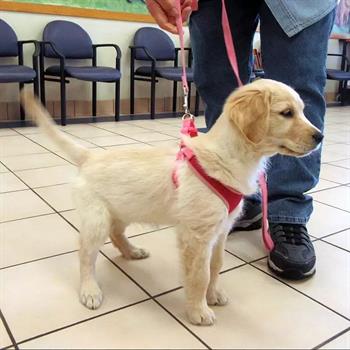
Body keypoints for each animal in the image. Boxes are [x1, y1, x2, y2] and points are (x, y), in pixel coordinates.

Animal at [21, 78, 322, 326]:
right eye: (286, 113)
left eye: (302, 110)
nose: (320, 136)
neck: (230, 156)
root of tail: (90, 156)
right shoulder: (196, 236)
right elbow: (199, 275)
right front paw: (198, 310)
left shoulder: (221, 230)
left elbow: (216, 265)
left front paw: (214, 294)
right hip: (96, 219)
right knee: (86, 255)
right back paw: (90, 290)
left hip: (123, 209)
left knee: (116, 234)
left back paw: (132, 252)